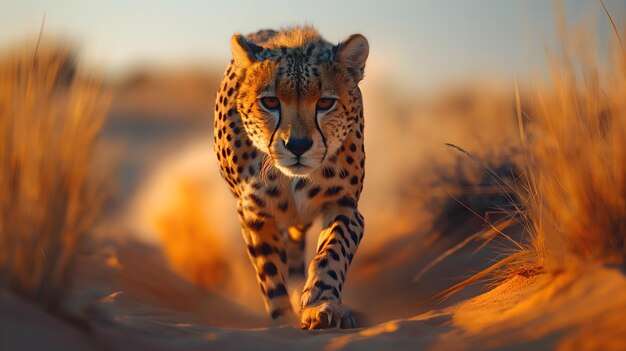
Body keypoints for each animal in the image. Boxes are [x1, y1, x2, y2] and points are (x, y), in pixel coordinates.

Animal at [212, 26, 368, 330]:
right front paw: (282, 318)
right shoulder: (253, 214)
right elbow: (270, 270)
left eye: (326, 102)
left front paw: (320, 304)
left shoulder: (344, 205)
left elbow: (332, 251)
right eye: (270, 102)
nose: (297, 145)